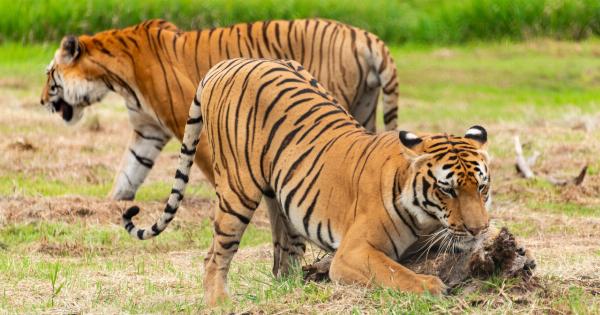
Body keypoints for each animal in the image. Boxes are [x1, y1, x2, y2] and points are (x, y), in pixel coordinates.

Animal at [38, 19, 398, 202]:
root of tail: (367, 37)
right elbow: (130, 170)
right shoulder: (147, 130)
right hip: (364, 108)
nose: (41, 102)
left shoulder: (181, 116)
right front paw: (114, 203)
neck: (113, 78)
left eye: (49, 75)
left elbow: (205, 163)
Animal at [120, 58, 492, 306]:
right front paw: (432, 287)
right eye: (448, 190)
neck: (425, 218)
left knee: (280, 254)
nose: (479, 229)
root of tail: (227, 63)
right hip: (237, 191)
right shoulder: (353, 252)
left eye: (481, 187)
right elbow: (393, 272)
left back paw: (293, 286)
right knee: (214, 256)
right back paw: (220, 303)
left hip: (281, 197)